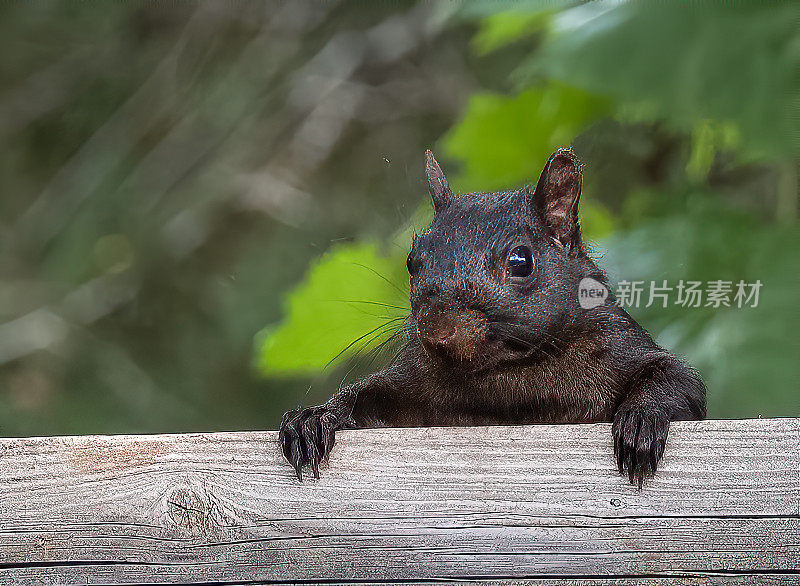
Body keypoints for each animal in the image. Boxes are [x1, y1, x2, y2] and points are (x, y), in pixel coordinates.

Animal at [278, 148, 704, 486]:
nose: (436, 325)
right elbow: (365, 396)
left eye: (521, 261)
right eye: (412, 261)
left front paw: (640, 421)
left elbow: (677, 381)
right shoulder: (412, 391)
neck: (508, 371)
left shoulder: (622, 344)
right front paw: (314, 418)